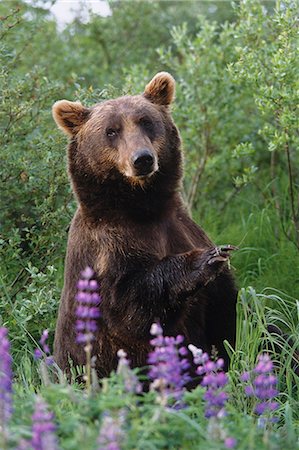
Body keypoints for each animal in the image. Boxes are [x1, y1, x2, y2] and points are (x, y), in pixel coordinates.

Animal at [52, 72, 239, 378]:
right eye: (111, 131)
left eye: (146, 121)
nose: (142, 159)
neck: (142, 208)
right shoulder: (107, 248)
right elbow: (129, 306)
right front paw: (205, 260)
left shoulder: (180, 227)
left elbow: (225, 316)